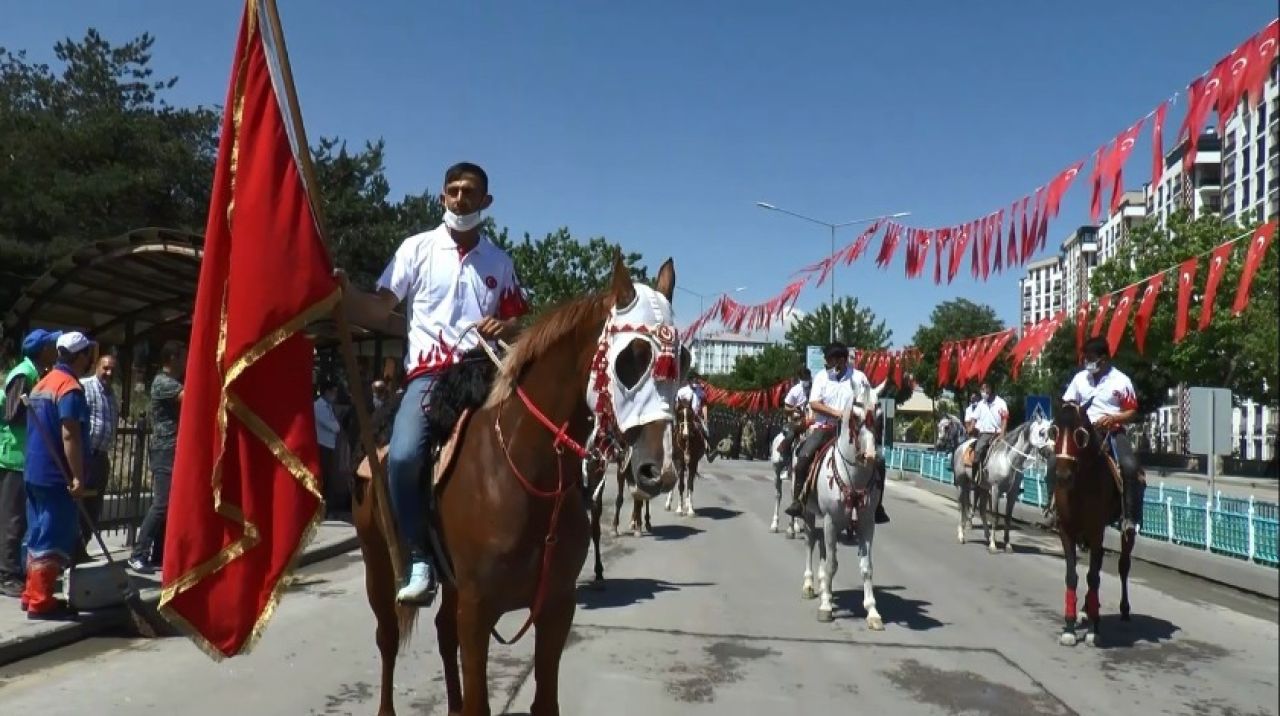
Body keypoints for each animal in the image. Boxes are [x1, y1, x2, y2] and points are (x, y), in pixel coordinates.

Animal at [350, 257, 680, 716]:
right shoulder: (477, 611)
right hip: (378, 561)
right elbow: (478, 701)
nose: (658, 470)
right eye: (630, 358)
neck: (525, 475)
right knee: (388, 638)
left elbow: (544, 701)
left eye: (682, 357)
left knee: (442, 630)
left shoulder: (557, 607)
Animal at [793, 381, 885, 627]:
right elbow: (831, 564)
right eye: (855, 415)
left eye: (879, 415)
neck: (854, 475)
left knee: (823, 549)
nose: (870, 455)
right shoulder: (831, 520)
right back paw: (809, 584)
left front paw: (872, 611)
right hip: (809, 514)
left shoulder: (866, 523)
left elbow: (866, 567)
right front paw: (825, 606)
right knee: (810, 543)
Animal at [952, 420, 1049, 555]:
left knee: (982, 510)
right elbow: (995, 516)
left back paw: (987, 537)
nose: (1049, 451)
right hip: (962, 484)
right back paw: (961, 536)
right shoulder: (995, 490)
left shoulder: (1012, 493)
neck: (1008, 460)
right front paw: (993, 546)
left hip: (982, 488)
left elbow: (1007, 518)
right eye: (1041, 432)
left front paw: (1007, 545)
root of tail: (961, 446)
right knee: (962, 507)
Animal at [1054, 404, 1136, 650]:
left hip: (1125, 531)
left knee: (1123, 565)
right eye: (1053, 431)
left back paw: (1122, 610)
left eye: (1080, 435)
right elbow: (1072, 576)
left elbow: (1093, 578)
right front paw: (1070, 628)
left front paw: (1093, 631)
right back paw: (1087, 610)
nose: (1062, 475)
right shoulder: (1067, 531)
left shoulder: (1096, 530)